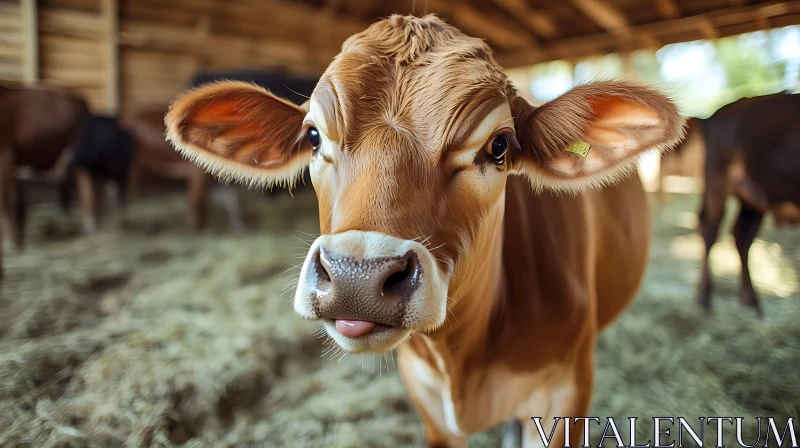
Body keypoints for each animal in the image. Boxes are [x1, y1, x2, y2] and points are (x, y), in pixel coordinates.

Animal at [166, 14, 684, 448]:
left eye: (499, 146)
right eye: (313, 136)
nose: (356, 277)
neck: (463, 354)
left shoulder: (564, 397)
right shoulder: (428, 402)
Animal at [692, 91, 800, 314]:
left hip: (753, 198)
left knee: (741, 236)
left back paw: (750, 300)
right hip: (718, 182)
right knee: (710, 229)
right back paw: (704, 298)